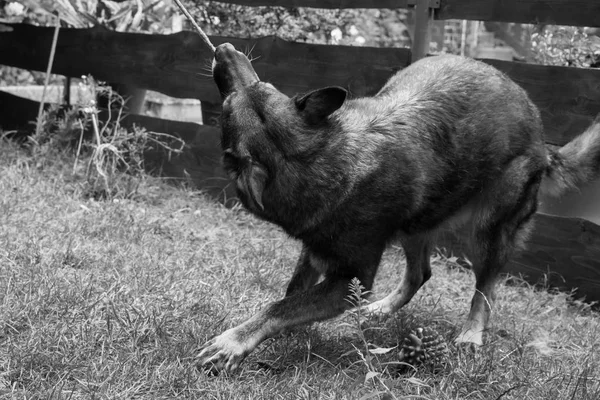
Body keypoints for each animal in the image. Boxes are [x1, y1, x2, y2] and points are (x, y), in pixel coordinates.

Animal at [198, 42, 600, 374]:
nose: (224, 48)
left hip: (488, 230)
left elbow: (279, 307)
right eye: (241, 94)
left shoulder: (350, 282)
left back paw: (471, 334)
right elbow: (291, 295)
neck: (316, 157)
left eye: (255, 89)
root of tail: (542, 138)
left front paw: (233, 341)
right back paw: (383, 309)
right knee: (420, 273)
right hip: (416, 222)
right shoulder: (316, 252)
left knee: (485, 288)